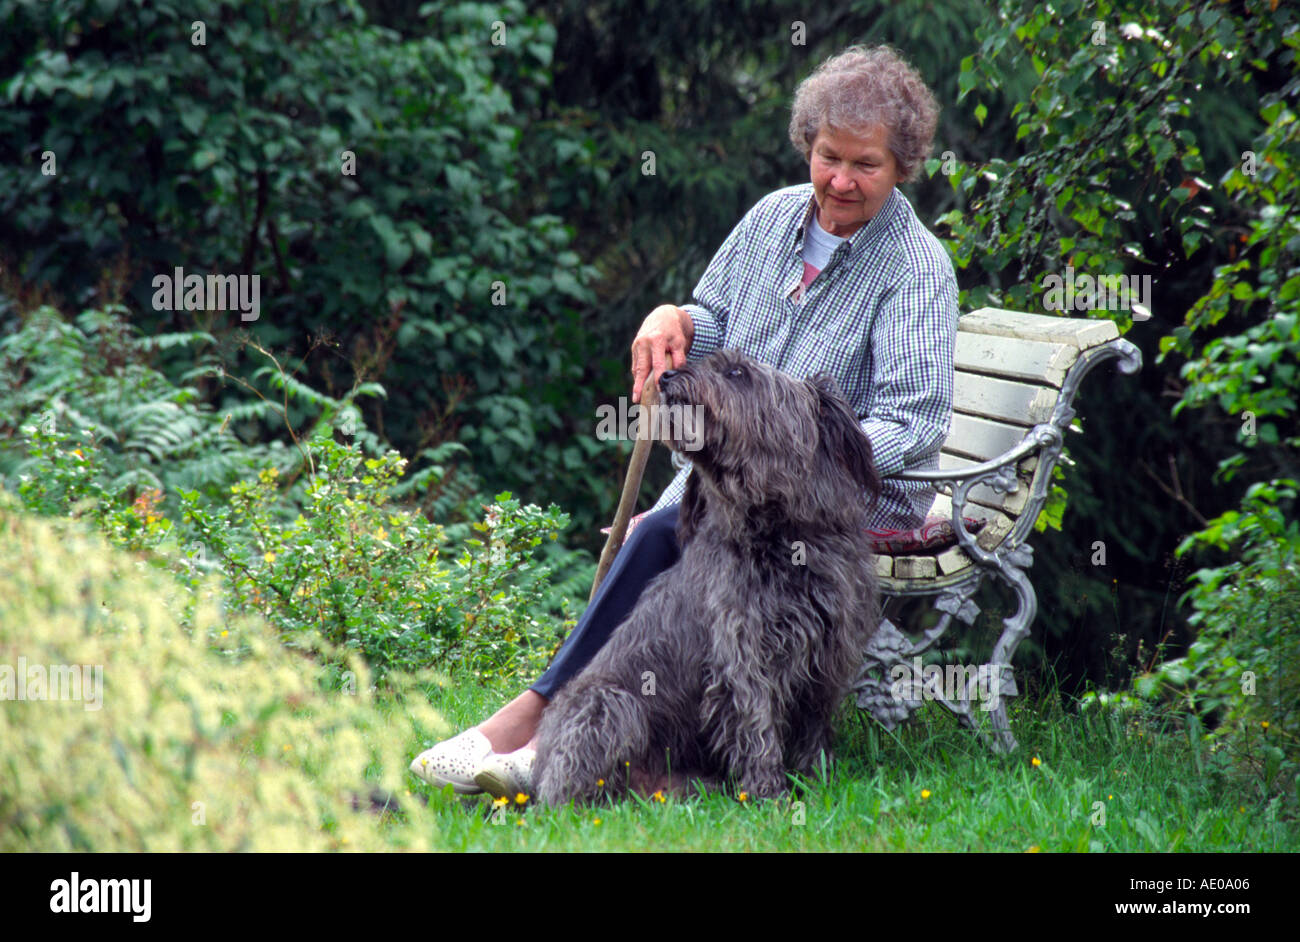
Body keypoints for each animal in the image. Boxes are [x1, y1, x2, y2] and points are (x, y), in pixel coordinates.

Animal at [530, 348, 883, 805]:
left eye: (737, 371)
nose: (665, 377)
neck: (779, 534)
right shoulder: (743, 654)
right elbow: (757, 726)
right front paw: (770, 795)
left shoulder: (829, 648)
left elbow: (814, 723)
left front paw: (817, 780)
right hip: (610, 703)